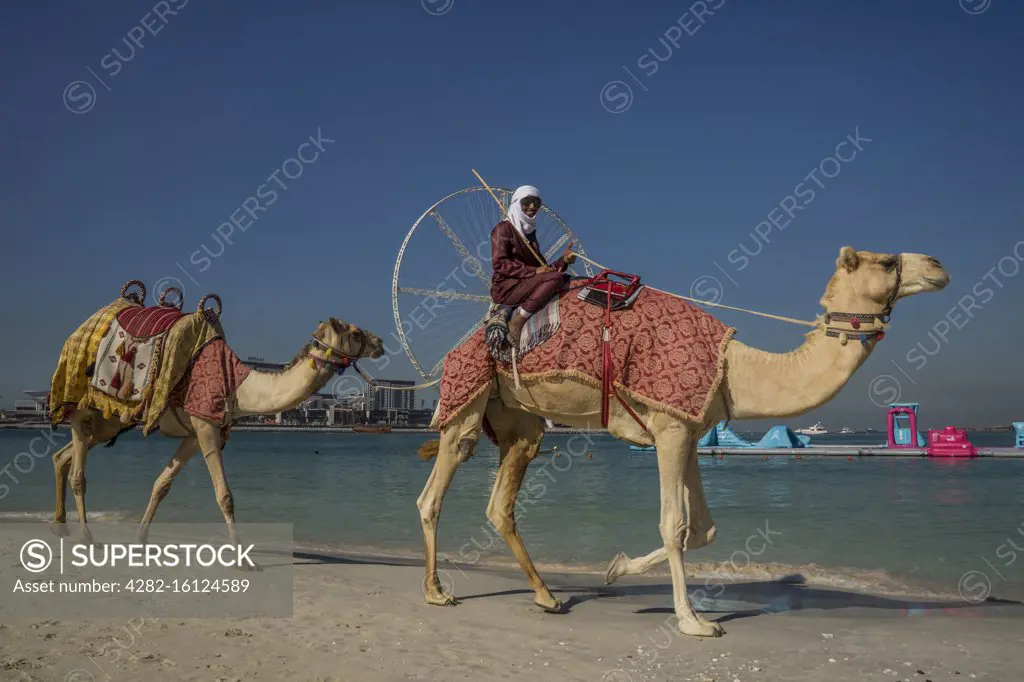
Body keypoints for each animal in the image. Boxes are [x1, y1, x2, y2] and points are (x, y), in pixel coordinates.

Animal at [48, 278, 385, 548]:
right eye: (356, 332)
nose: (380, 342)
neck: (239, 385)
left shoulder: (196, 433)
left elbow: (161, 484)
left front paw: (141, 538)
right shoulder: (206, 425)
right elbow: (225, 495)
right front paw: (241, 557)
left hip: (108, 421)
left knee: (63, 456)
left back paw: (60, 525)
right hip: (80, 404)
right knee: (78, 472)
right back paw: (86, 536)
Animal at [415, 246, 950, 634]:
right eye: (887, 261)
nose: (939, 265)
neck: (733, 370)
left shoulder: (690, 429)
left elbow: (704, 529)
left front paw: (616, 569)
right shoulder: (669, 427)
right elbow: (674, 525)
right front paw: (693, 621)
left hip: (519, 420)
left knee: (500, 503)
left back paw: (547, 596)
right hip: (468, 397)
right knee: (434, 490)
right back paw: (437, 591)